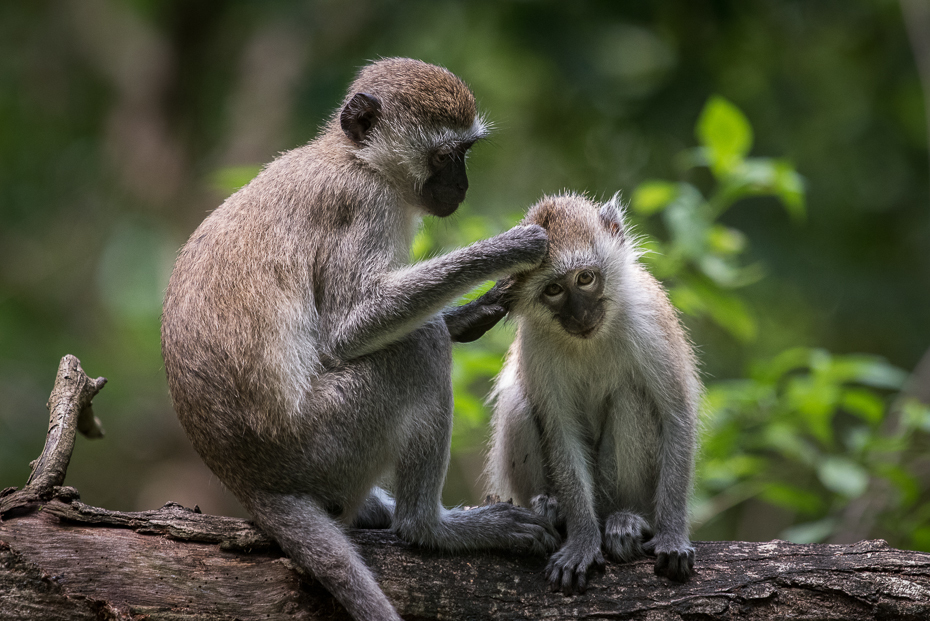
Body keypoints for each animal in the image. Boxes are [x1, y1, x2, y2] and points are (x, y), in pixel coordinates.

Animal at [160, 58, 556, 620]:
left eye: (466, 152)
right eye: (445, 155)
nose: (462, 185)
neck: (357, 159)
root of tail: (247, 479)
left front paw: (469, 314)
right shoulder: (361, 206)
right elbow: (350, 327)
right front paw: (514, 246)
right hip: (327, 442)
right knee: (418, 349)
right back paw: (429, 527)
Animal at [486, 191, 696, 592]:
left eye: (585, 278)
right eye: (554, 289)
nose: (580, 315)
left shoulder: (649, 318)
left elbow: (676, 415)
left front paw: (672, 535)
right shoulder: (536, 343)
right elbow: (561, 432)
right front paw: (582, 540)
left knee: (631, 398)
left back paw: (626, 520)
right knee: (519, 403)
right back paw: (552, 509)